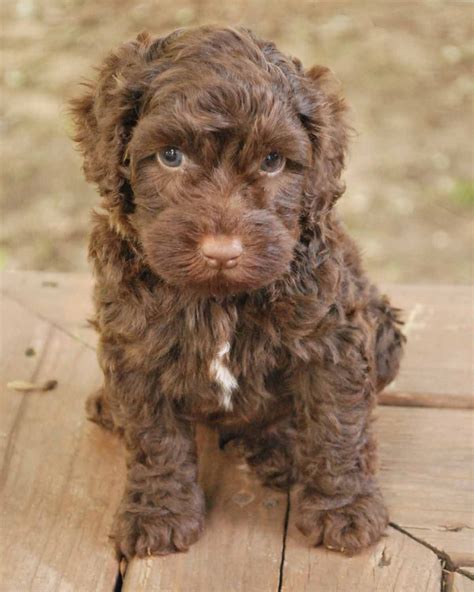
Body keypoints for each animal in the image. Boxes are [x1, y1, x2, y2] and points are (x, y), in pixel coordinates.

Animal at [69, 24, 404, 560]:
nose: (222, 252)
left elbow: (336, 426)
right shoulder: (134, 349)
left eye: (272, 162)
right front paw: (158, 513)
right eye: (170, 156)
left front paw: (343, 509)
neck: (219, 298)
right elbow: (154, 437)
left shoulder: (333, 339)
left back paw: (280, 448)